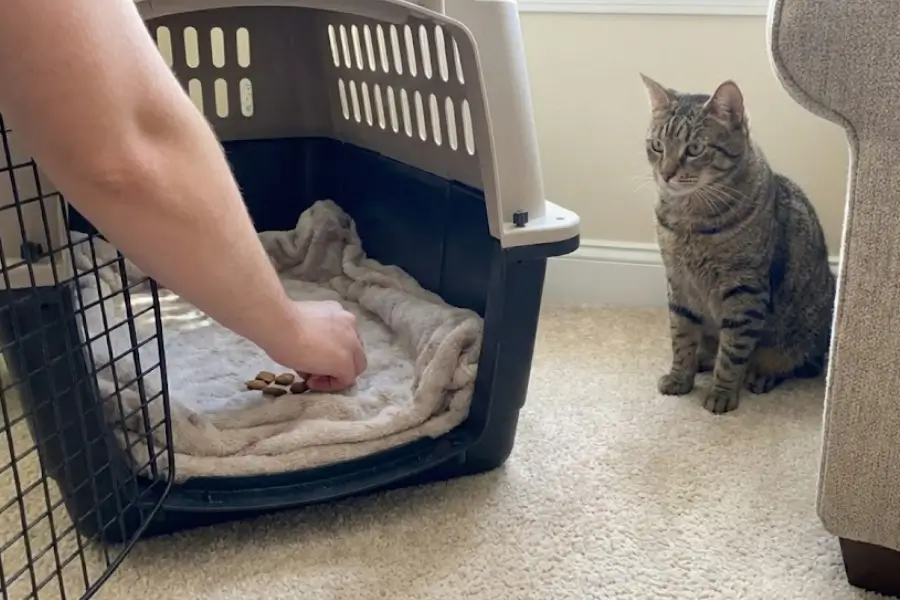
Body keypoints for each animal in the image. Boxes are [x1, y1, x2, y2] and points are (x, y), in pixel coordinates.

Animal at [639, 74, 836, 414]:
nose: (665, 174)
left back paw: (761, 375)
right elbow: (681, 336)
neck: (689, 219)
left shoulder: (744, 291)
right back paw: (703, 359)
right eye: (657, 146)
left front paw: (721, 393)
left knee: (793, 363)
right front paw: (680, 377)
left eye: (694, 148)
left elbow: (732, 352)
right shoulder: (678, 282)